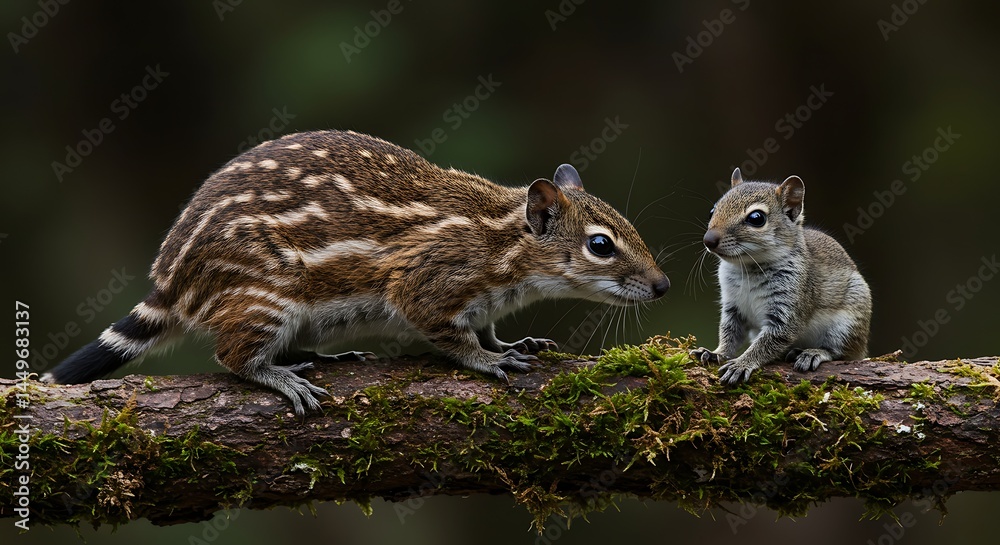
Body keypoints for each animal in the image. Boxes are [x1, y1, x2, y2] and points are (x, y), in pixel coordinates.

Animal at [43, 130, 670, 415]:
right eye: (600, 245)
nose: (662, 285)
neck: (502, 244)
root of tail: (171, 282)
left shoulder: (482, 302)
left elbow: (488, 327)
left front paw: (515, 343)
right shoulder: (424, 284)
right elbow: (454, 337)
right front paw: (489, 361)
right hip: (267, 298)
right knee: (232, 356)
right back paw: (283, 377)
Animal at [690, 168, 871, 384]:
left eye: (756, 218)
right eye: (713, 211)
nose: (708, 240)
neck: (748, 268)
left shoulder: (788, 307)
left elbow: (770, 341)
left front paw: (741, 364)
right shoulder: (733, 307)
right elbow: (730, 335)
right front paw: (716, 353)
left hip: (847, 325)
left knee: (839, 352)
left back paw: (812, 353)